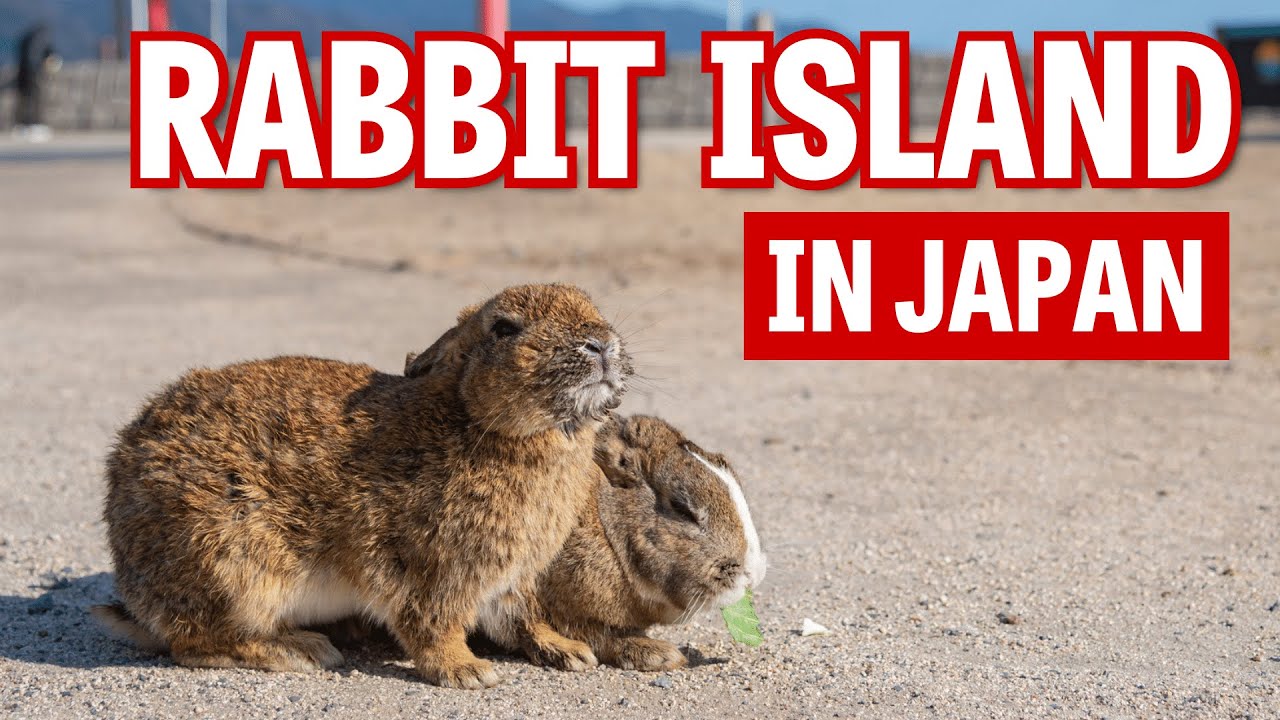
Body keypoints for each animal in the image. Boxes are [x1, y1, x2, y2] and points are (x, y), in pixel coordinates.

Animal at [92, 283, 632, 689]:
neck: (480, 421)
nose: (601, 344)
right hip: (234, 567)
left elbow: (522, 617)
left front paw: (568, 651)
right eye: (504, 328)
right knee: (195, 643)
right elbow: (431, 624)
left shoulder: (511, 578)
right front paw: (466, 671)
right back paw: (301, 650)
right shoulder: (432, 569)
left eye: (594, 308)